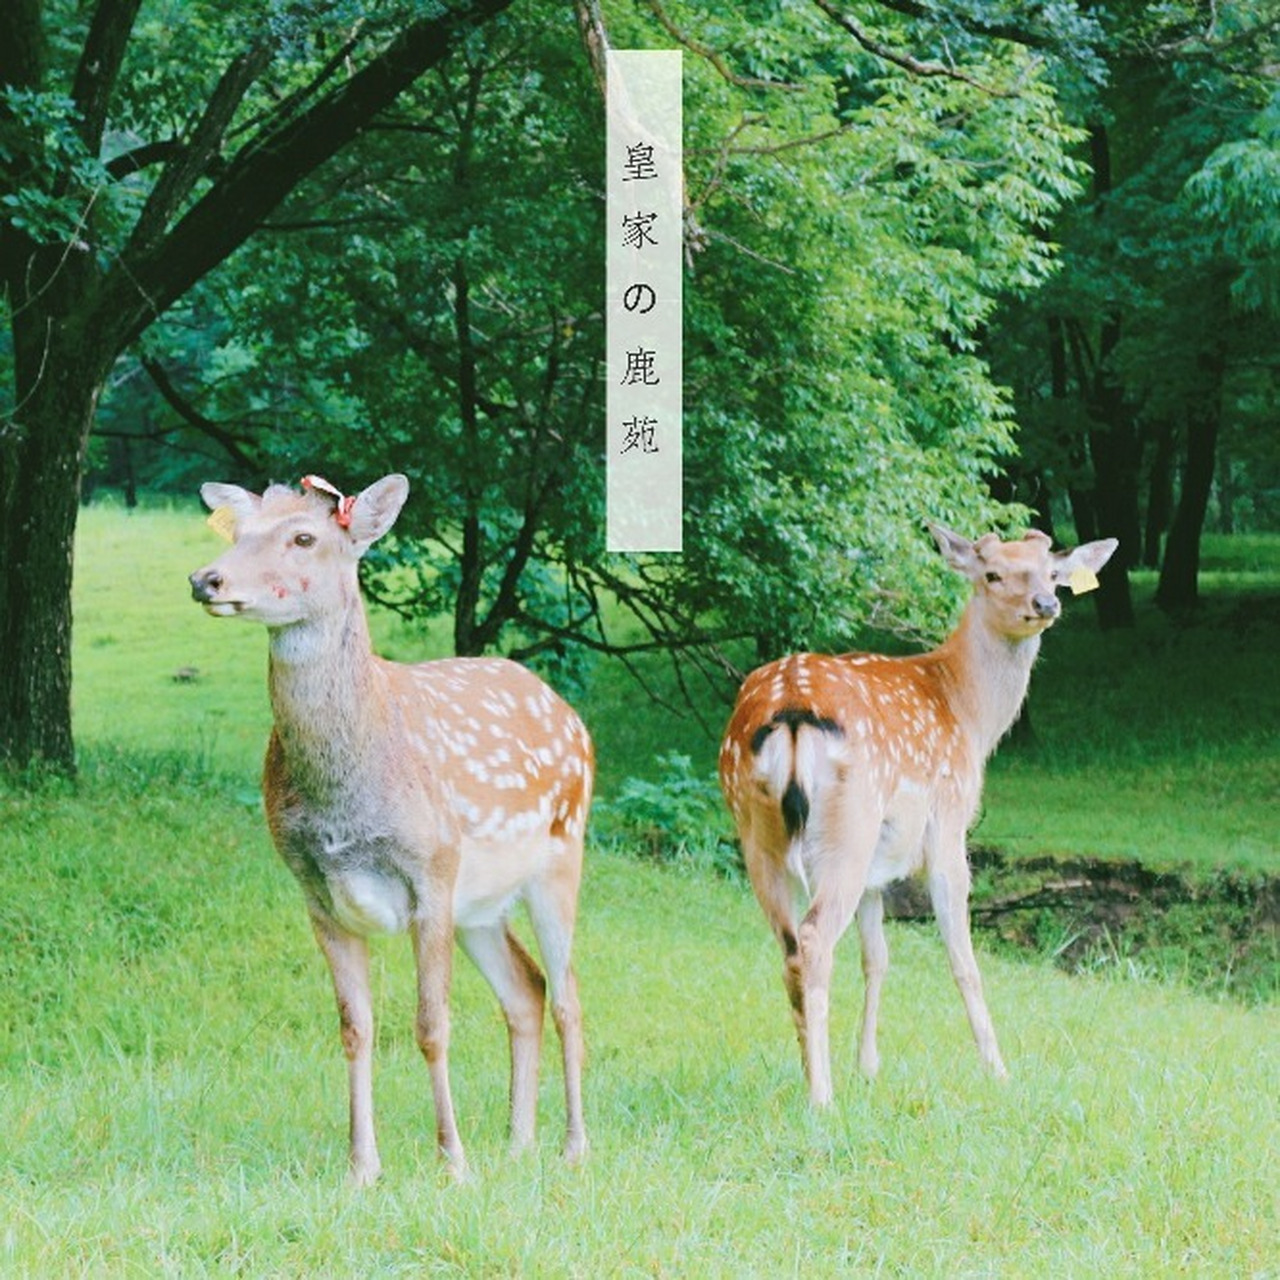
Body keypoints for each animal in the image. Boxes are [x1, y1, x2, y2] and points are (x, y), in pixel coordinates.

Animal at [189, 473, 592, 1185]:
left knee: (569, 995)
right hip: (479, 906)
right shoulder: (316, 893)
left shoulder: (431, 873)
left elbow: (431, 1026)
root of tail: (573, 717)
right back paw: (518, 1144)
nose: (206, 579)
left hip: (561, 853)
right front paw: (362, 1168)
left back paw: (572, 1147)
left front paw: (453, 1162)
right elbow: (356, 1028)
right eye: (237, 532)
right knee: (527, 989)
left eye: (304, 537)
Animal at [719, 522, 1118, 1106]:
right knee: (813, 942)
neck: (968, 714)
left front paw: (867, 1066)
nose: (1045, 604)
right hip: (847, 826)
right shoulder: (948, 823)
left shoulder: (877, 866)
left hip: (756, 830)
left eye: (1051, 573)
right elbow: (961, 957)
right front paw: (997, 1070)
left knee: (789, 946)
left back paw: (810, 1072)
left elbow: (877, 955)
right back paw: (821, 1098)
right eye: (991, 574)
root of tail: (790, 714)